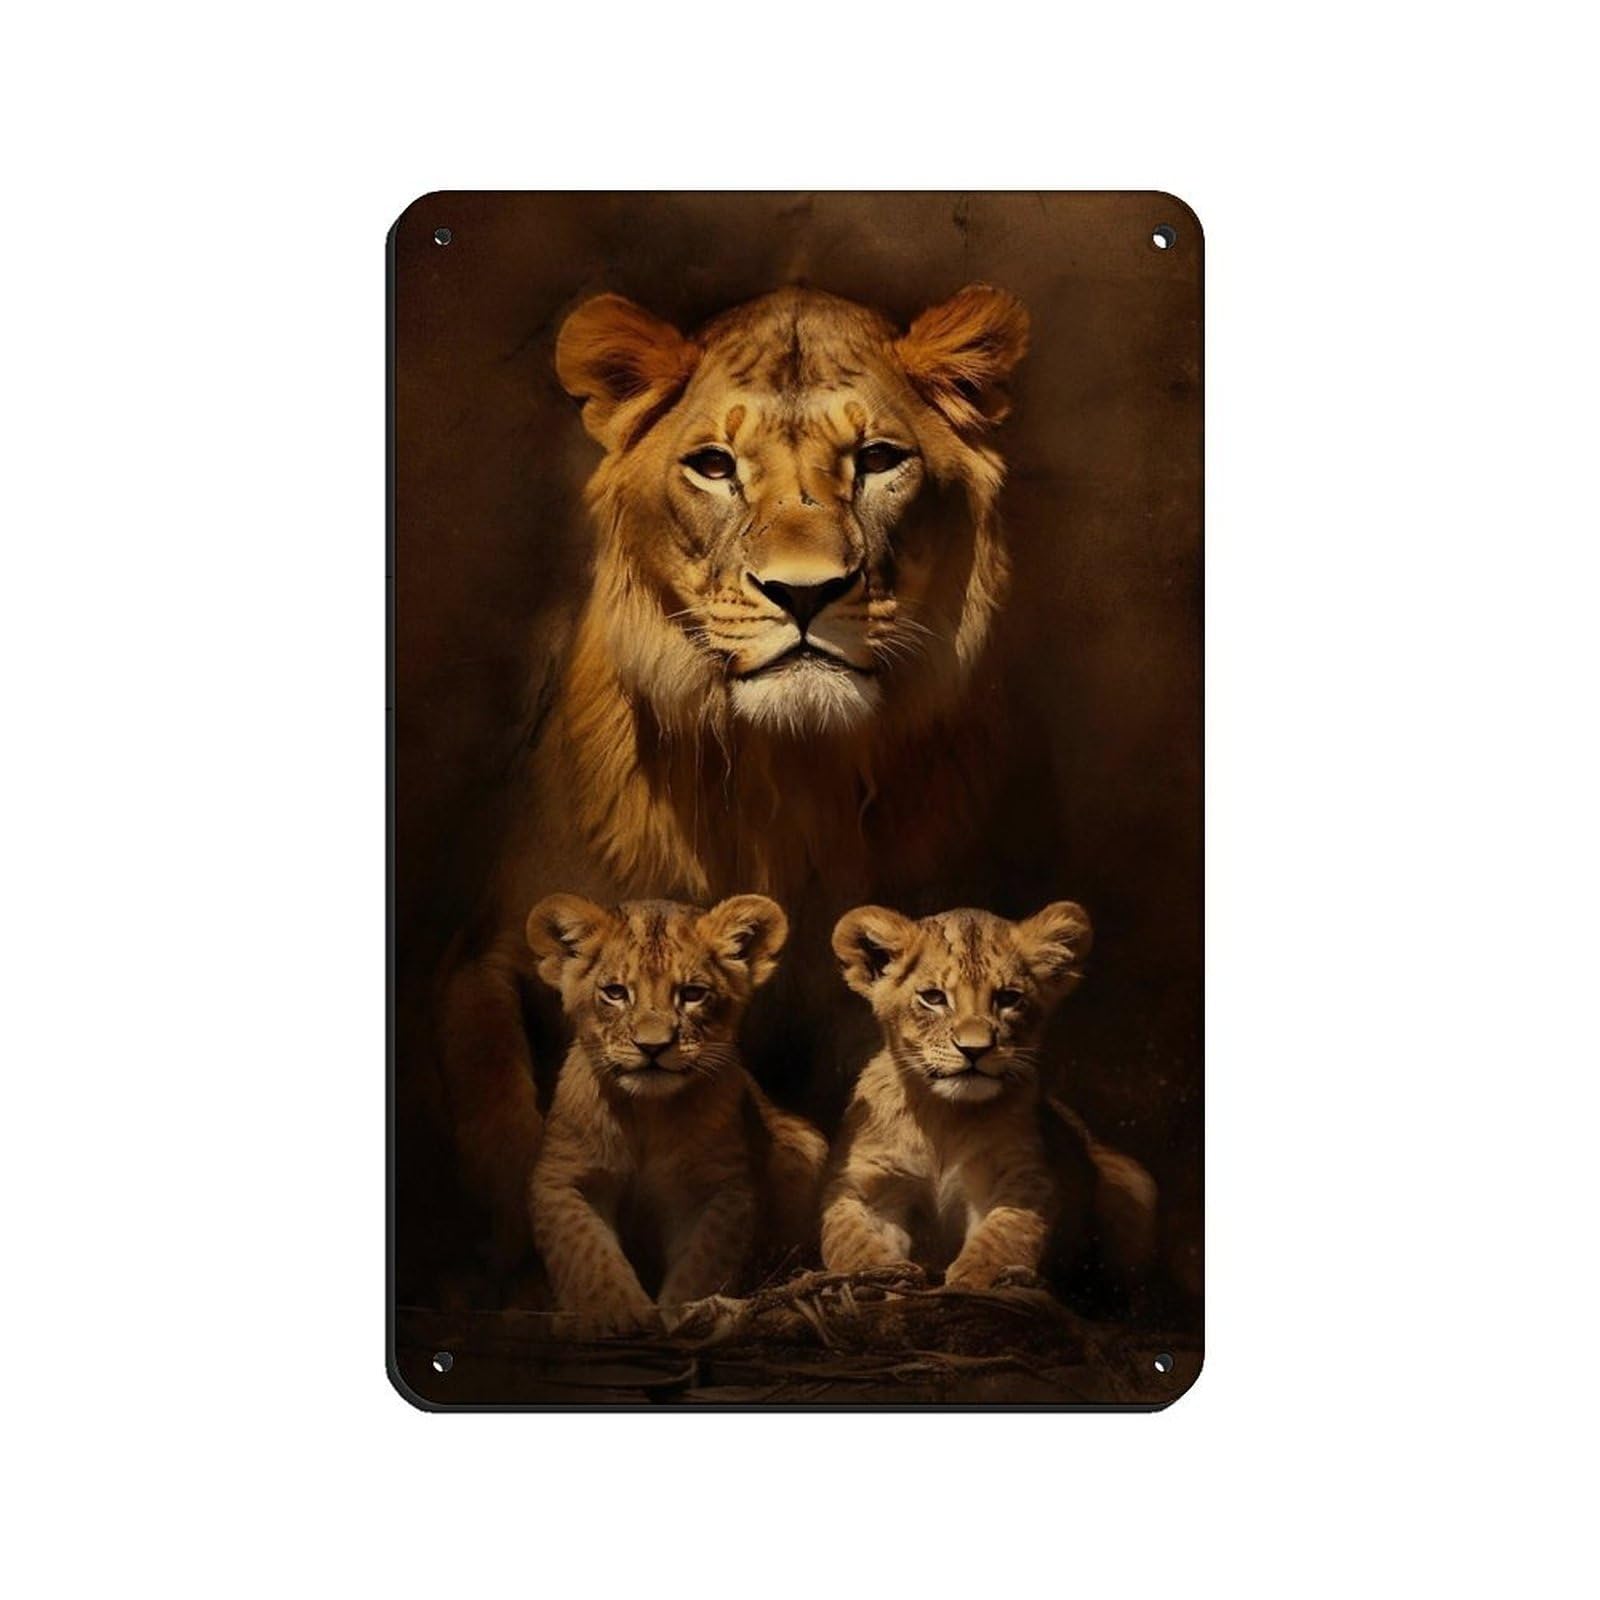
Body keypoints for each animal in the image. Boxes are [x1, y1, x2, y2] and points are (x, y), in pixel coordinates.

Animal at [437, 283, 1030, 1261]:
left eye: (878, 459)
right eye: (714, 465)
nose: (804, 593)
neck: (781, 778)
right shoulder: (489, 953)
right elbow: (497, 1103)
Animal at [525, 892, 826, 1334]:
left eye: (693, 993)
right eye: (615, 992)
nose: (652, 1047)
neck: (646, 1114)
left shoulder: (720, 1188)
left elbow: (703, 1262)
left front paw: (685, 1314)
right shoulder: (561, 1177)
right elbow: (587, 1251)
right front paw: (616, 1312)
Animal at [821, 902, 1157, 1288]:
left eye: (1009, 998)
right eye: (933, 998)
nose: (974, 1050)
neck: (943, 1114)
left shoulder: (1022, 1175)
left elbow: (1005, 1232)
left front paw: (973, 1277)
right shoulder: (867, 1182)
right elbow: (848, 1235)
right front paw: (880, 1273)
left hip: (1131, 1180)